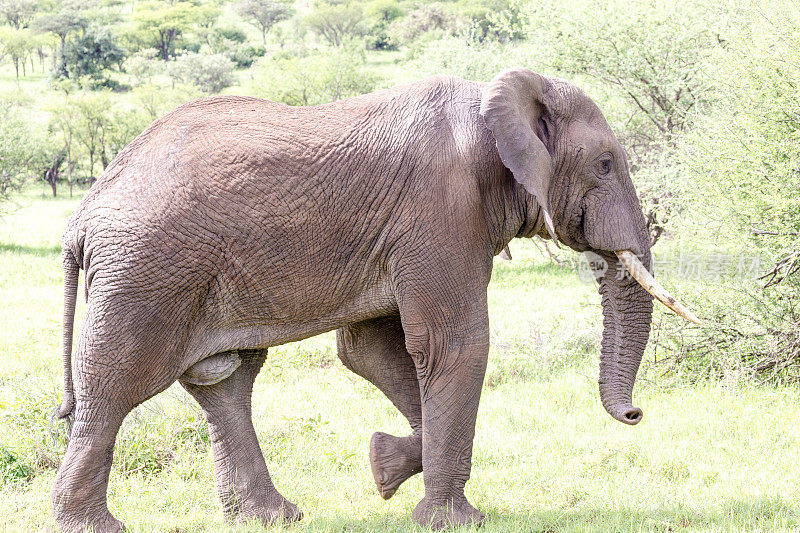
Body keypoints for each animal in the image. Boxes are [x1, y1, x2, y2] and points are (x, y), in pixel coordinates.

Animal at [53, 68, 696, 528]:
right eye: (605, 164)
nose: (635, 414)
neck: (493, 98)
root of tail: (82, 216)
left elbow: (370, 351)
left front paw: (385, 467)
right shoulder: (440, 211)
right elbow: (452, 346)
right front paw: (454, 520)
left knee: (225, 379)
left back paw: (272, 517)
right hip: (147, 273)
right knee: (115, 387)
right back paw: (93, 525)